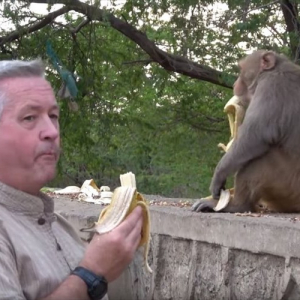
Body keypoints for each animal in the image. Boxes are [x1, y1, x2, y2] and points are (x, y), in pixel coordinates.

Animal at [193, 49, 300, 213]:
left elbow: (255, 136)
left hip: (289, 185)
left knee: (258, 160)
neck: (275, 69)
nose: (235, 84)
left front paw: (219, 175)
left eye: (241, 70)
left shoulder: (271, 85)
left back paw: (237, 205)